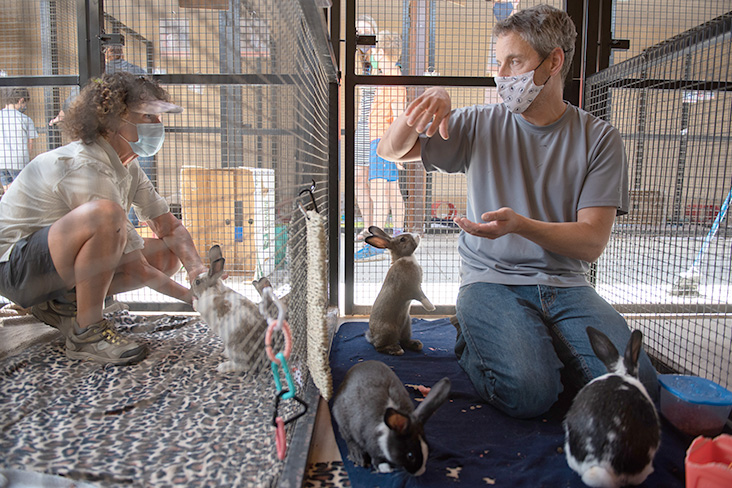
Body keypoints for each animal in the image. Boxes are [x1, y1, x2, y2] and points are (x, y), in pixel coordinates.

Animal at [190, 246, 268, 376]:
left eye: (197, 282)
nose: (190, 286)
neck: (215, 290)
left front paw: (194, 303)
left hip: (234, 348)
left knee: (244, 366)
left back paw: (222, 367)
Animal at [362, 225, 432, 354]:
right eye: (403, 239)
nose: (417, 235)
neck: (404, 257)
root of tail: (373, 338)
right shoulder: (413, 288)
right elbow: (422, 296)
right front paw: (431, 307)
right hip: (389, 331)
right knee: (379, 347)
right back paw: (396, 350)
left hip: (407, 326)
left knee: (404, 341)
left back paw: (416, 344)